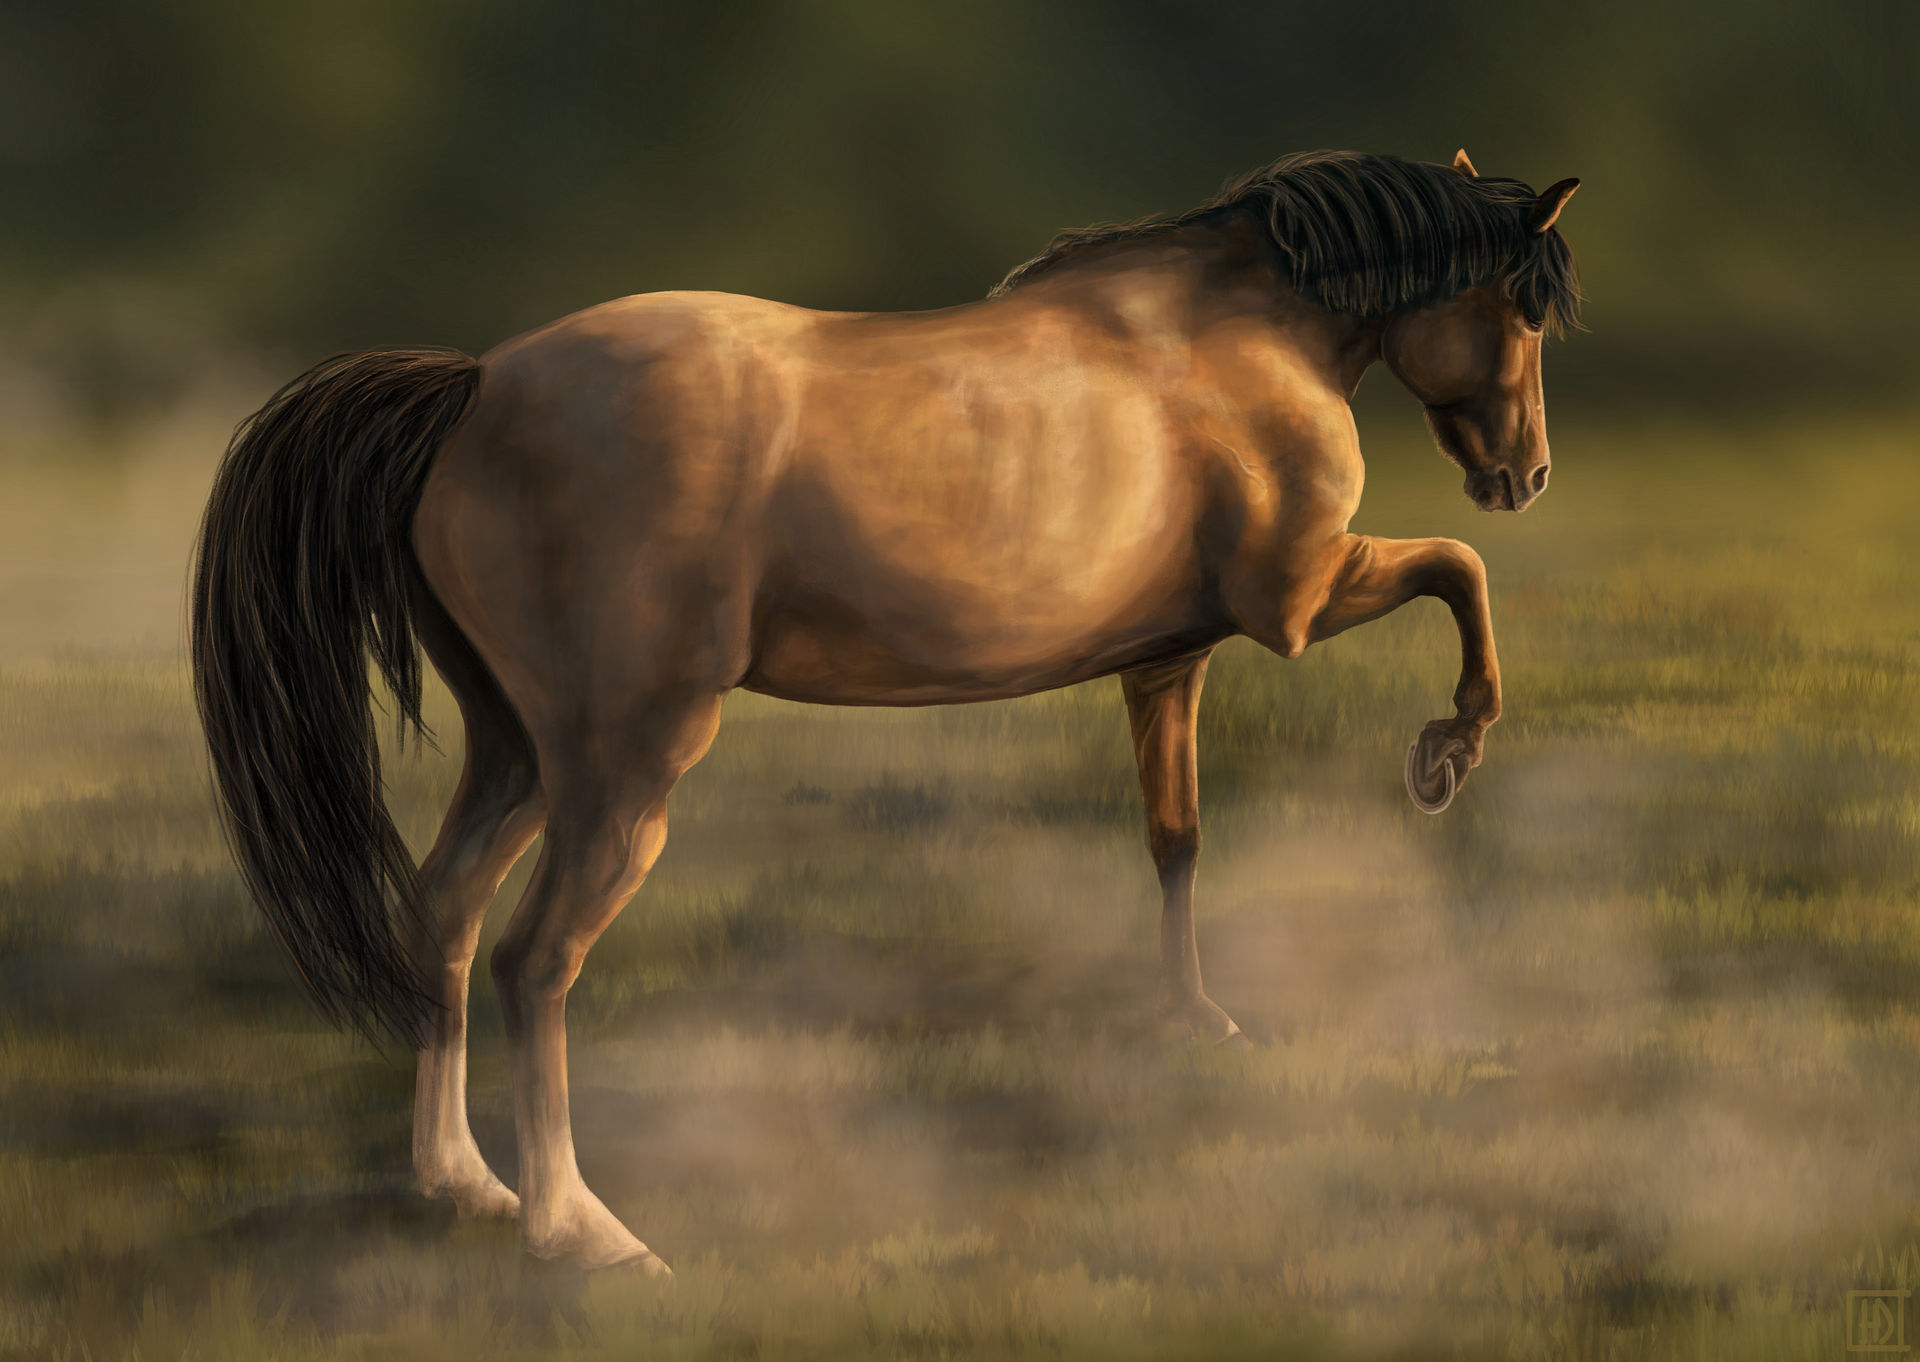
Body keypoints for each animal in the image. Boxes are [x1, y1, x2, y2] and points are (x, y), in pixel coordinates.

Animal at [190, 148, 1581, 1271]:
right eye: (1518, 310)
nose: (1525, 477)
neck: (1231, 339)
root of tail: (476, 389)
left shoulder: (1168, 660)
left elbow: (1176, 838)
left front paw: (1197, 1019)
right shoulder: (1296, 602)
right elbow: (1461, 572)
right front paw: (1448, 751)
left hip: (517, 751)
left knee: (444, 913)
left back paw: (461, 1185)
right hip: (622, 761)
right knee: (538, 957)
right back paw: (582, 1232)